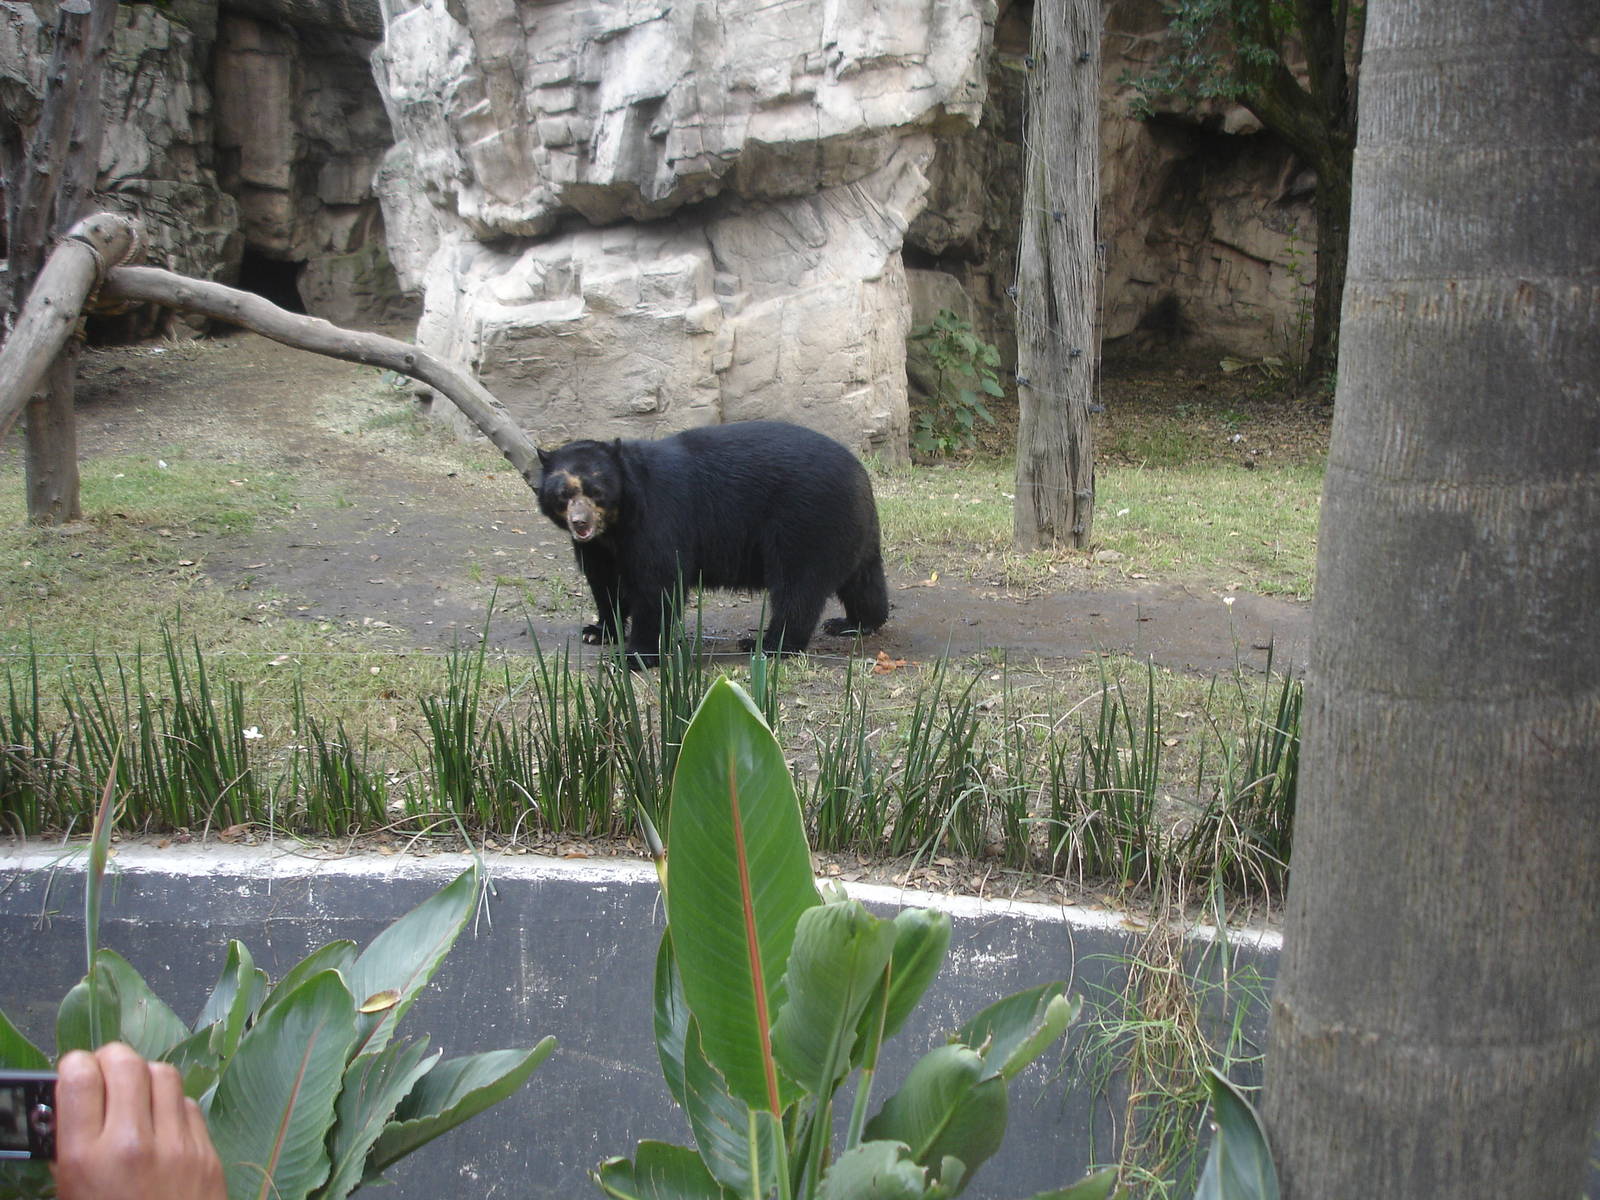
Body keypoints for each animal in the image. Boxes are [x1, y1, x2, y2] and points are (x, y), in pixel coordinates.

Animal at [535, 420, 888, 662]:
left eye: (596, 491)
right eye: (563, 494)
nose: (580, 523)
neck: (617, 523)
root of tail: (859, 472)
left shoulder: (658, 519)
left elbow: (658, 584)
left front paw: (635, 654)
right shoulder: (599, 549)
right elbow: (606, 584)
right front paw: (598, 632)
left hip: (804, 520)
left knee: (797, 587)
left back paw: (768, 645)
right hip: (849, 528)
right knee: (862, 578)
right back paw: (854, 623)